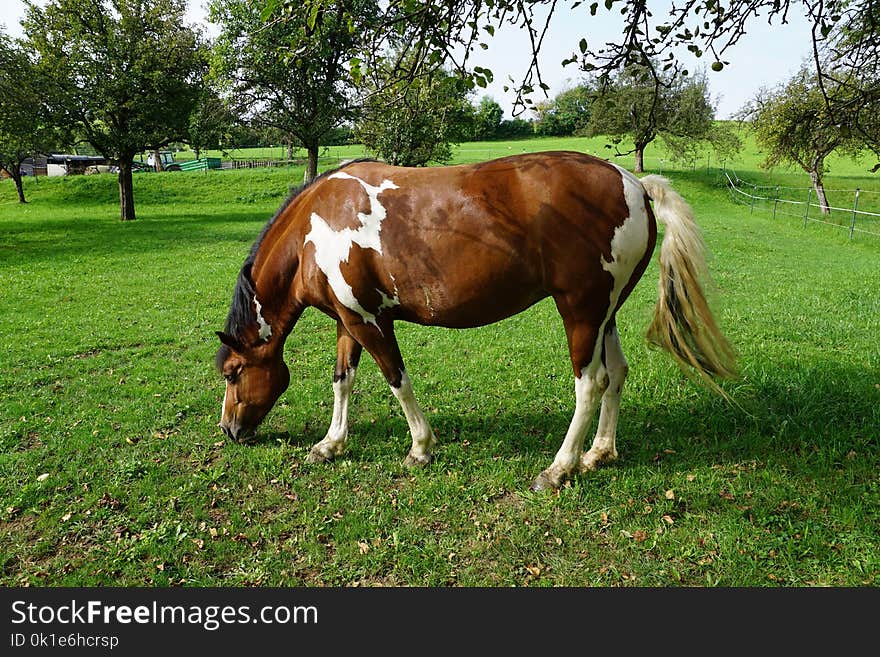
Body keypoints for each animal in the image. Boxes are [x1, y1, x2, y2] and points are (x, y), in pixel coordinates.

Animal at [215, 149, 736, 486]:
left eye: (233, 372)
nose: (229, 430)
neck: (318, 224)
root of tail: (633, 183)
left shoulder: (370, 322)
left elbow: (397, 381)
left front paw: (420, 448)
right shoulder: (350, 320)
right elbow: (343, 380)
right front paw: (330, 444)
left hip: (581, 312)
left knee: (591, 383)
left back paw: (559, 468)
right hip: (606, 314)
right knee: (618, 375)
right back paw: (598, 453)